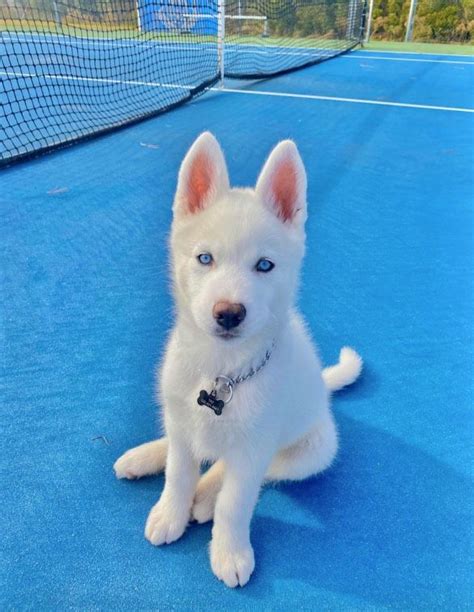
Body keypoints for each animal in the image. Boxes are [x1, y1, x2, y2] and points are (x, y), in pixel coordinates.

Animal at [114, 133, 360, 588]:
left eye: (264, 265)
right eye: (204, 258)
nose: (228, 313)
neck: (222, 373)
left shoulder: (255, 446)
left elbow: (236, 501)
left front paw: (229, 551)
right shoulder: (184, 420)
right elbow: (178, 473)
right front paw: (171, 511)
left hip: (314, 449)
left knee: (242, 469)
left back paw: (205, 499)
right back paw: (146, 457)